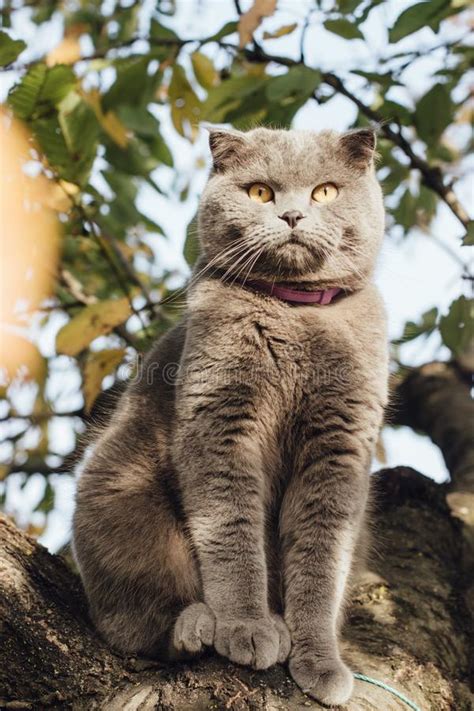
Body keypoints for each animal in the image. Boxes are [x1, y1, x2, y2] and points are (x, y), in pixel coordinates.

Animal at [72, 126, 386, 708]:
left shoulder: (340, 448)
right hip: (120, 498)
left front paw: (319, 660)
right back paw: (198, 625)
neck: (296, 316)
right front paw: (245, 627)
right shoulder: (219, 421)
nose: (291, 215)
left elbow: (321, 560)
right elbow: (232, 535)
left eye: (325, 192)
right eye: (260, 192)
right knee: (134, 625)